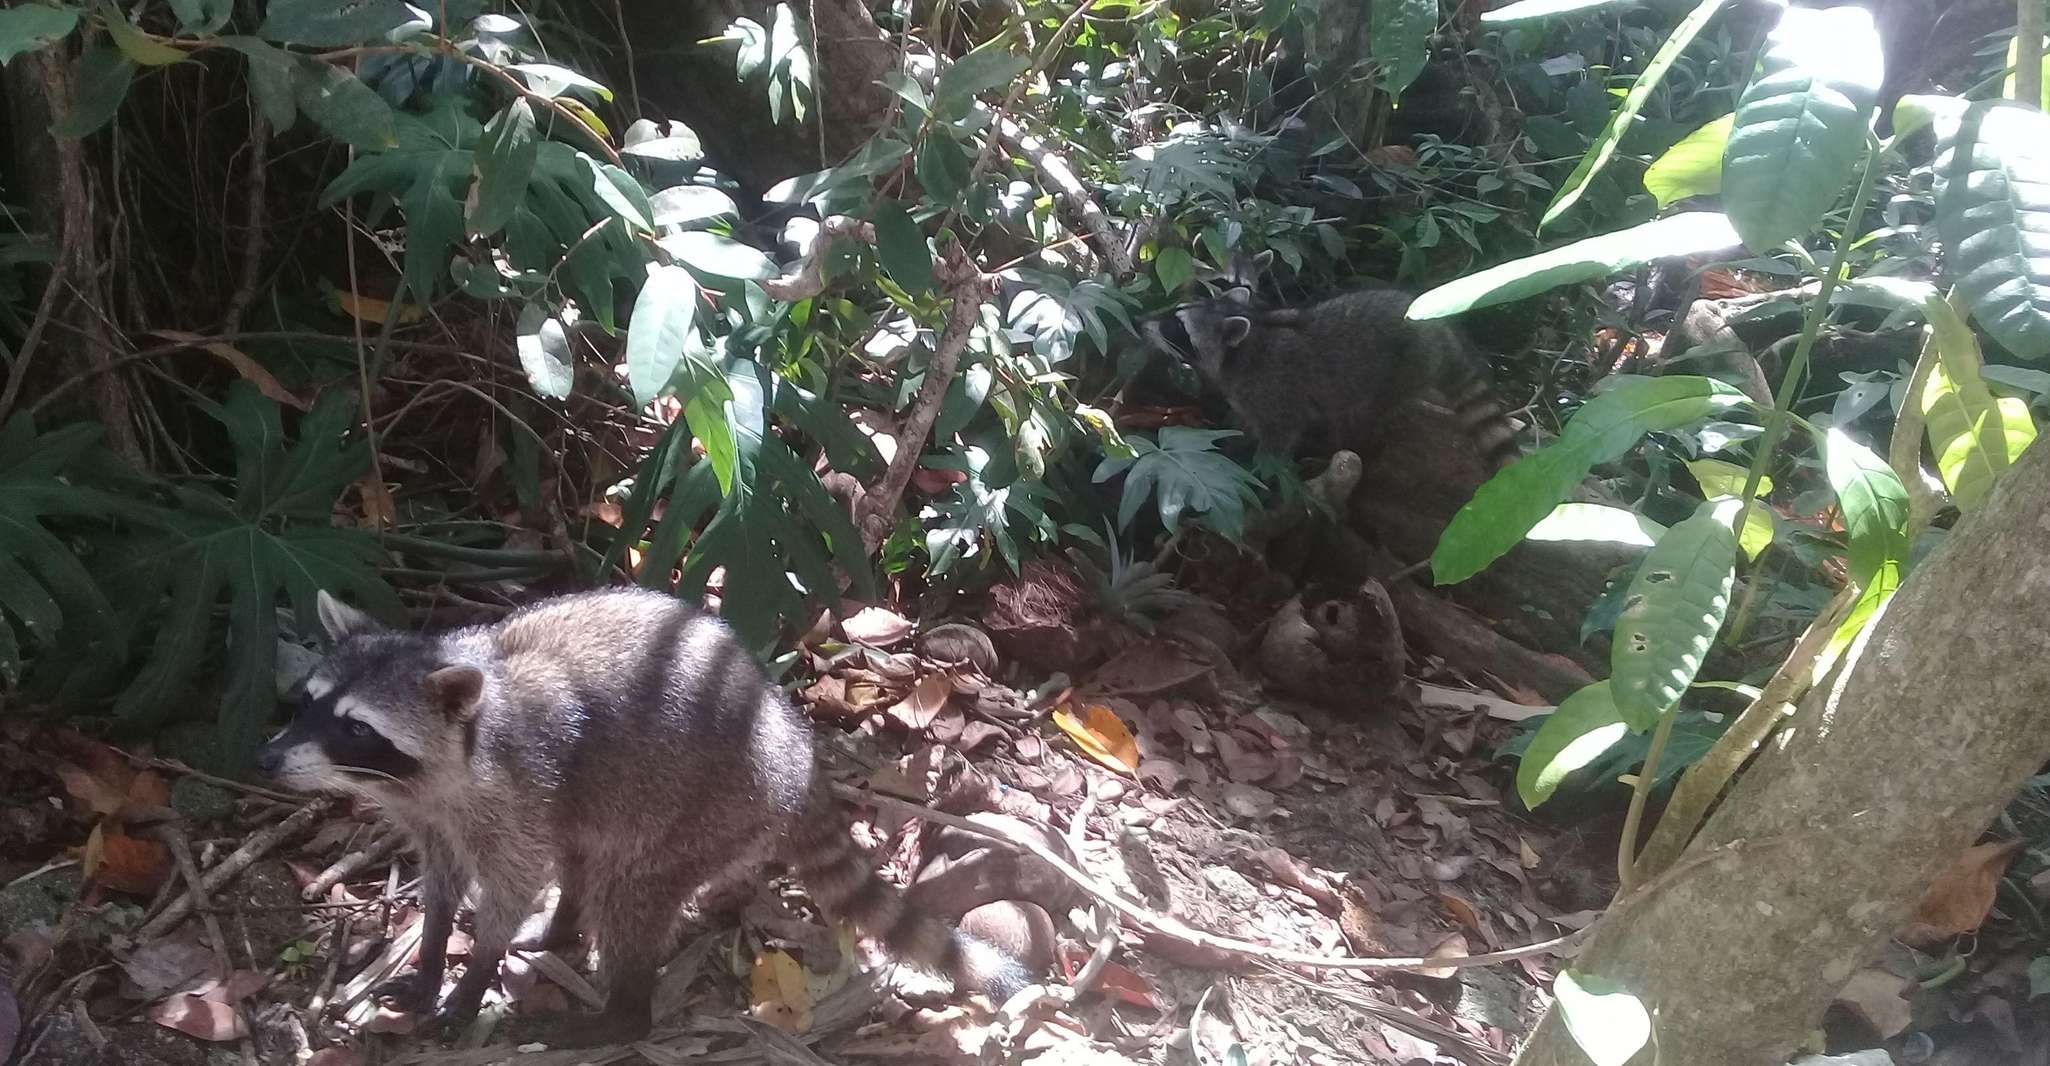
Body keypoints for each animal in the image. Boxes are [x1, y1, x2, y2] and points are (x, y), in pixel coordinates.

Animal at [256, 586, 1025, 1045]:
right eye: (309, 703)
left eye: (355, 729)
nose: (264, 759)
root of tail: (798, 752)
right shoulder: (435, 813)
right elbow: (444, 880)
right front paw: (433, 947)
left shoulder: (516, 790)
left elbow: (513, 881)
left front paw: (475, 969)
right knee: (586, 854)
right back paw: (563, 928)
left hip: (710, 806)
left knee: (628, 888)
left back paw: (617, 1016)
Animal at [1139, 256, 1525, 469]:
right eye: (1176, 313)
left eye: (1178, 328)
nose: (1143, 323)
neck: (1250, 339)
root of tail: (1442, 332)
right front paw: (1236, 435)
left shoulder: (1272, 391)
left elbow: (1279, 435)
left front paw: (1260, 465)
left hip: (1401, 368)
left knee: (1364, 412)